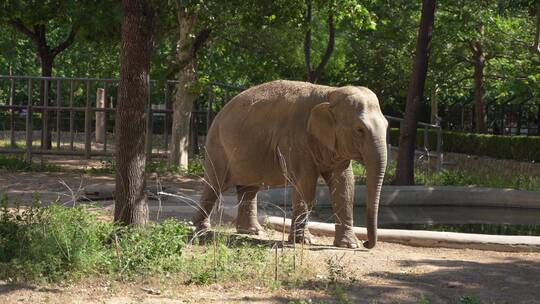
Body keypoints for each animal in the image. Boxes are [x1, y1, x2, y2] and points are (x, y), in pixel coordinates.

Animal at [194, 79, 388, 248]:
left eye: (387, 126)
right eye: (359, 130)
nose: (367, 243)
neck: (329, 93)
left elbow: (344, 185)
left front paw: (349, 245)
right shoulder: (295, 139)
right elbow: (306, 183)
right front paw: (303, 241)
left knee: (249, 189)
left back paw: (253, 231)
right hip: (216, 146)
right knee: (214, 186)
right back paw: (202, 231)